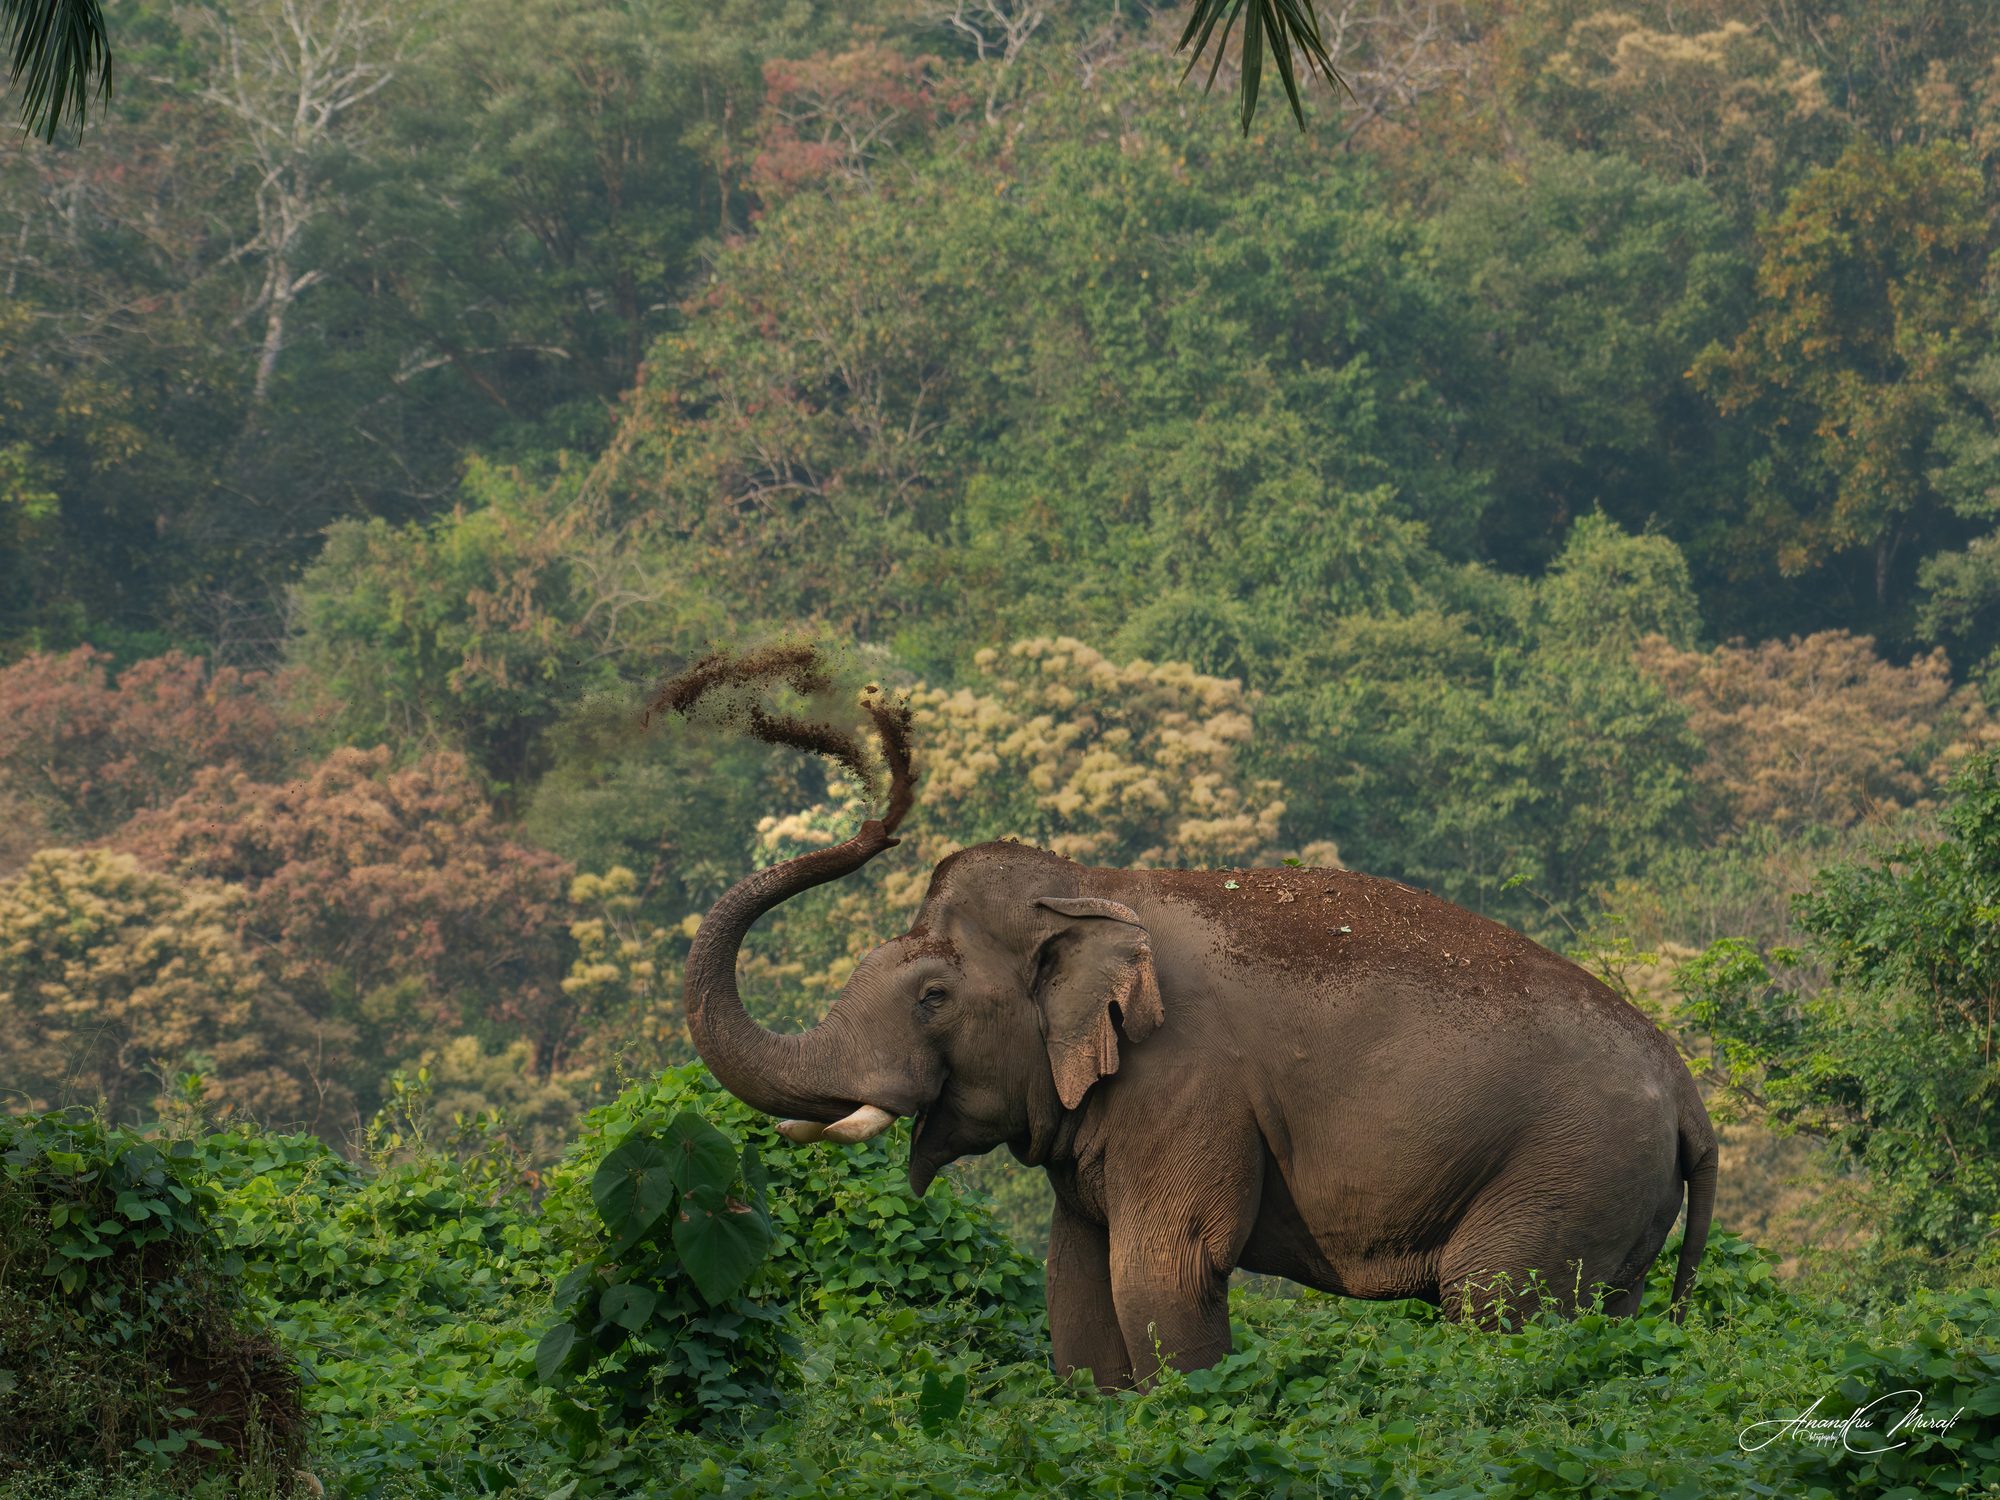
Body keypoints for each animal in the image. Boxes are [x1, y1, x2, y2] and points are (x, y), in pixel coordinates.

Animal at [684, 806, 1718, 1390]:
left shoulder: (1187, 1088)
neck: (1093, 889)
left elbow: (1164, 1272)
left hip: (1569, 1169)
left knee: (1499, 1304)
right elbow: (1074, 1284)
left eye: (934, 996)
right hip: (1615, 1198)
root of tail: (1687, 1094)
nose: (877, 824)